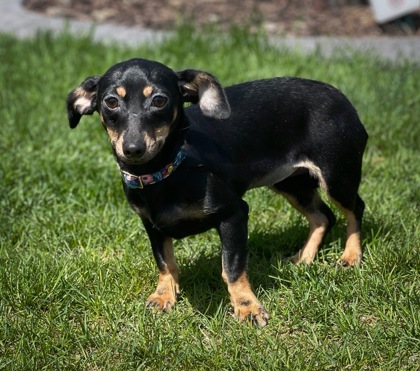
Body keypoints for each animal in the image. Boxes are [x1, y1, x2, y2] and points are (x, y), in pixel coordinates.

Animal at [65, 57, 368, 326]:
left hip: (338, 174)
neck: (167, 171)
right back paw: (304, 258)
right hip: (291, 182)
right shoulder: (152, 225)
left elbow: (232, 268)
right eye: (111, 102)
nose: (133, 149)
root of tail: (343, 98)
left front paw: (247, 308)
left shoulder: (234, 214)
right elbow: (165, 262)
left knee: (354, 209)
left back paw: (350, 256)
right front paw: (163, 296)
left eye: (160, 100)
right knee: (323, 216)